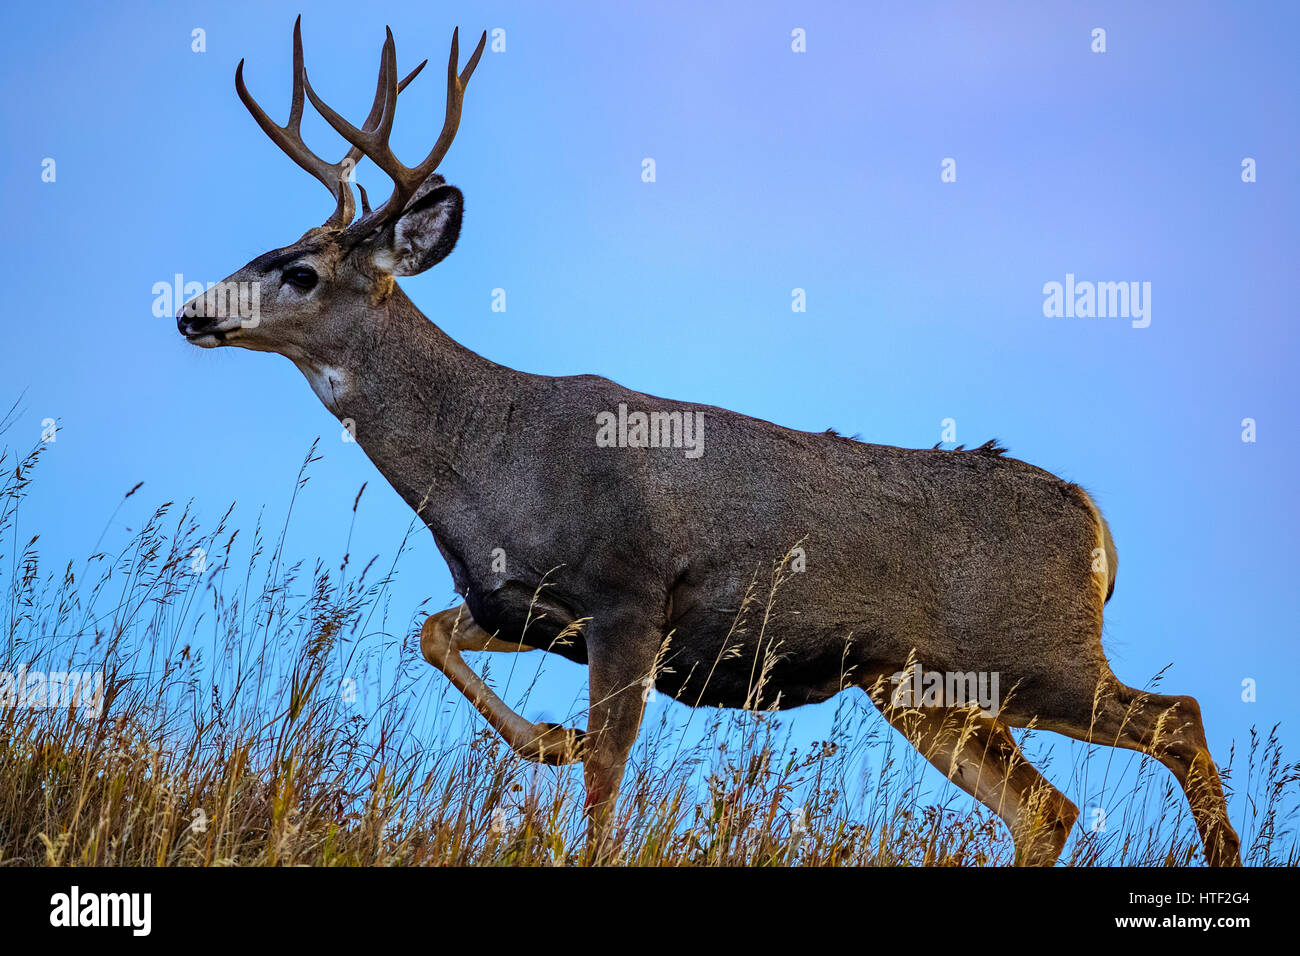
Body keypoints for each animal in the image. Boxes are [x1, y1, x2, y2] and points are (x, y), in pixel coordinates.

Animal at [178, 20, 1242, 868]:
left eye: (300, 272)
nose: (191, 311)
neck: (492, 460)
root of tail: (1094, 523)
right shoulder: (521, 605)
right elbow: (435, 633)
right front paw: (549, 739)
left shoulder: (630, 594)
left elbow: (607, 774)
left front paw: (573, 770)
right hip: (925, 688)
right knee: (1046, 807)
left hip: (1036, 650)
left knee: (1176, 721)